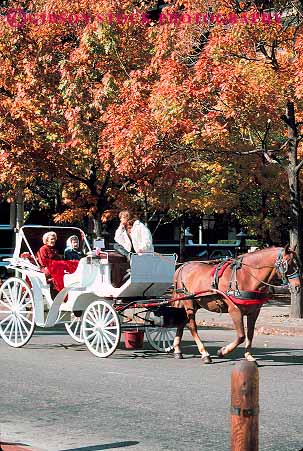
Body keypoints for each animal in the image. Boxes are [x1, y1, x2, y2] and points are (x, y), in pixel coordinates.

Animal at [172, 245, 302, 366]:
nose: (297, 286)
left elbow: (250, 334)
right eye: (287, 263)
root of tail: (182, 267)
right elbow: (241, 336)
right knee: (192, 326)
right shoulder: (235, 310)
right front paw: (223, 351)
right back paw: (204, 353)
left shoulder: (254, 312)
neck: (246, 276)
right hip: (188, 302)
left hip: (194, 303)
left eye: (298, 263)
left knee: (181, 322)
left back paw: (177, 350)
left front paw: (248, 356)